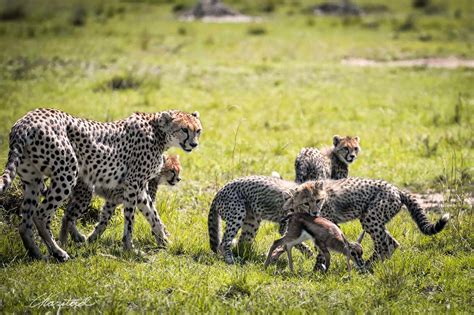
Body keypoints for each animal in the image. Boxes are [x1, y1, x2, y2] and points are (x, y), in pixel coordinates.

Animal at [0, 108, 202, 262]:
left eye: (198, 130)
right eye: (184, 129)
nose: (193, 144)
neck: (158, 133)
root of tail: (24, 122)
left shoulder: (140, 187)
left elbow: (153, 214)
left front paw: (165, 241)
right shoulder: (133, 184)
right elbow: (130, 219)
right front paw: (130, 248)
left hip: (33, 181)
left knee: (25, 222)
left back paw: (37, 254)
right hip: (67, 173)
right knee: (41, 215)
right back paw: (59, 252)